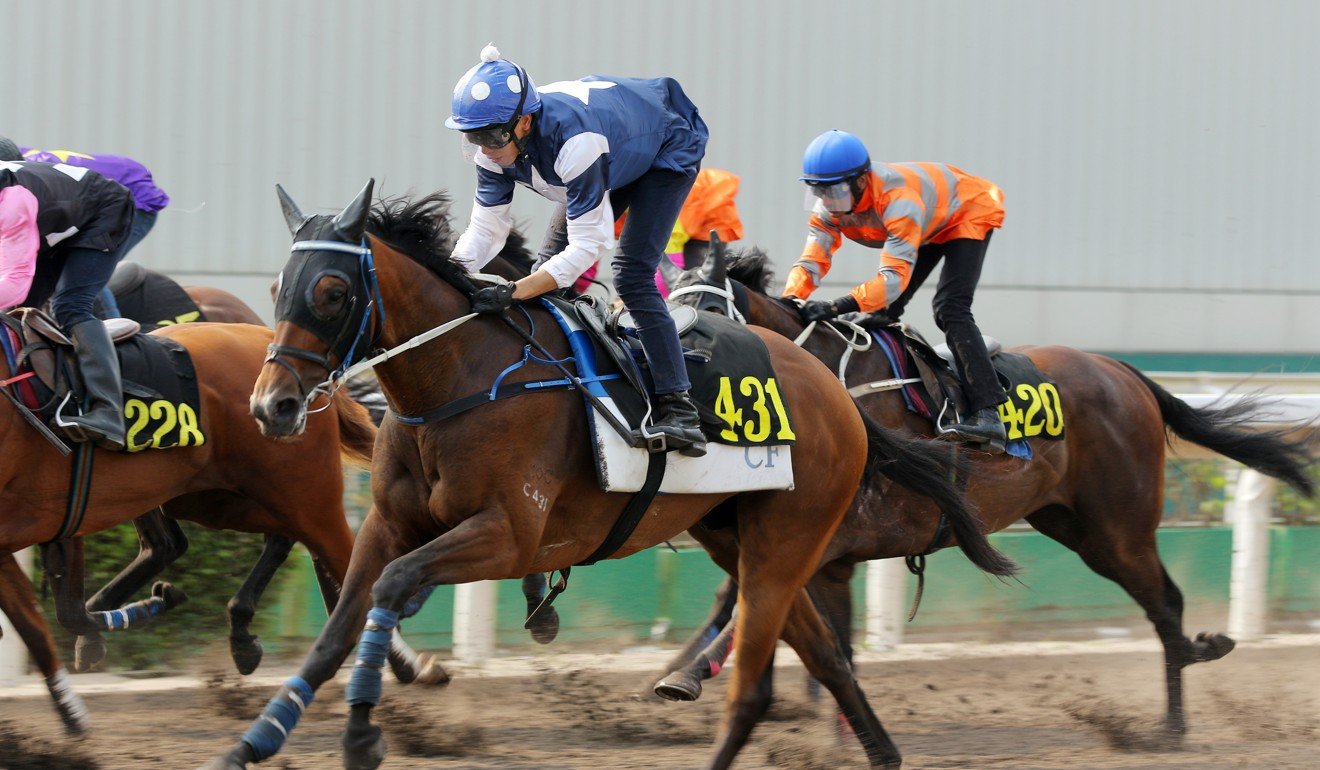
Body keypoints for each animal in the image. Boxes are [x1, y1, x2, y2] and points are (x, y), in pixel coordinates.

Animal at [0, 319, 448, 734]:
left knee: (342, 555)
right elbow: (47, 618)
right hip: (209, 496)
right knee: (264, 541)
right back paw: (244, 635)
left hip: (300, 493)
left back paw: (408, 664)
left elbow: (60, 614)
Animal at [660, 245, 1320, 755]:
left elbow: (752, 606)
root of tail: (1123, 371)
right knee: (1163, 602)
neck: (833, 383)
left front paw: (687, 675)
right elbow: (786, 620)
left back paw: (1173, 721)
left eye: (706, 311)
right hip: (1070, 524)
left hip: (1118, 528)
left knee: (1166, 604)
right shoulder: (820, 548)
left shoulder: (833, 535)